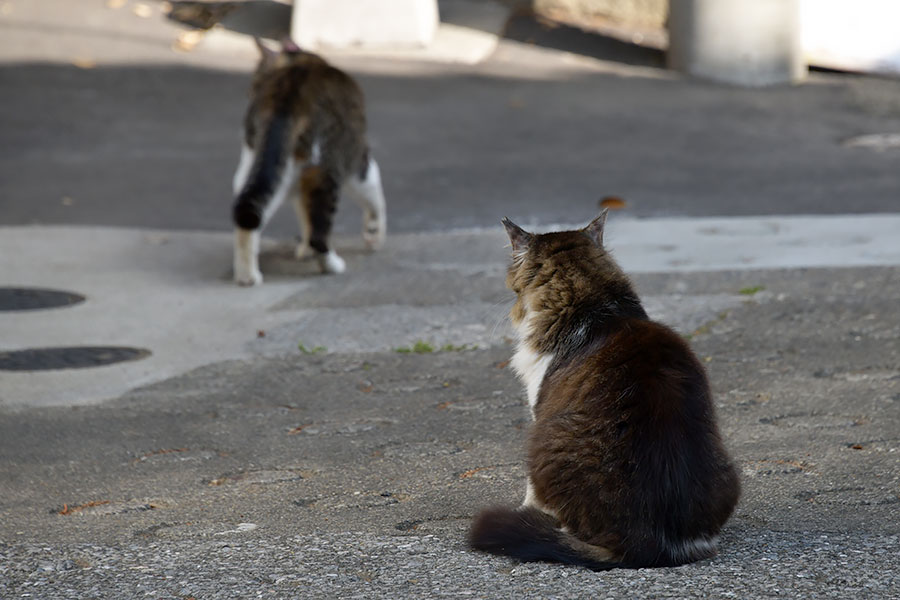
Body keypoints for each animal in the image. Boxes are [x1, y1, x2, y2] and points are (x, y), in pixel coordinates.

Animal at [230, 37, 384, 286]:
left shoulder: (296, 181)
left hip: (262, 168)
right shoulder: (357, 159)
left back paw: (247, 276)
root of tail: (289, 97)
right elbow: (375, 197)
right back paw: (332, 265)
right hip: (327, 166)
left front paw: (303, 250)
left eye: (256, 81)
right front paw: (374, 234)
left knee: (247, 210)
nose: (248, 92)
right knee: (320, 233)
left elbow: (305, 215)